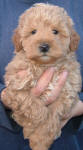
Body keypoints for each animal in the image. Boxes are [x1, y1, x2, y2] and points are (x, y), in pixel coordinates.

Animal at [1, 3, 81, 150]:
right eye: (33, 32)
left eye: (55, 31)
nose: (44, 46)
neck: (45, 65)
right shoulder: (15, 85)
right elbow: (32, 103)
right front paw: (33, 126)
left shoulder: (67, 91)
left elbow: (51, 118)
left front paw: (40, 142)